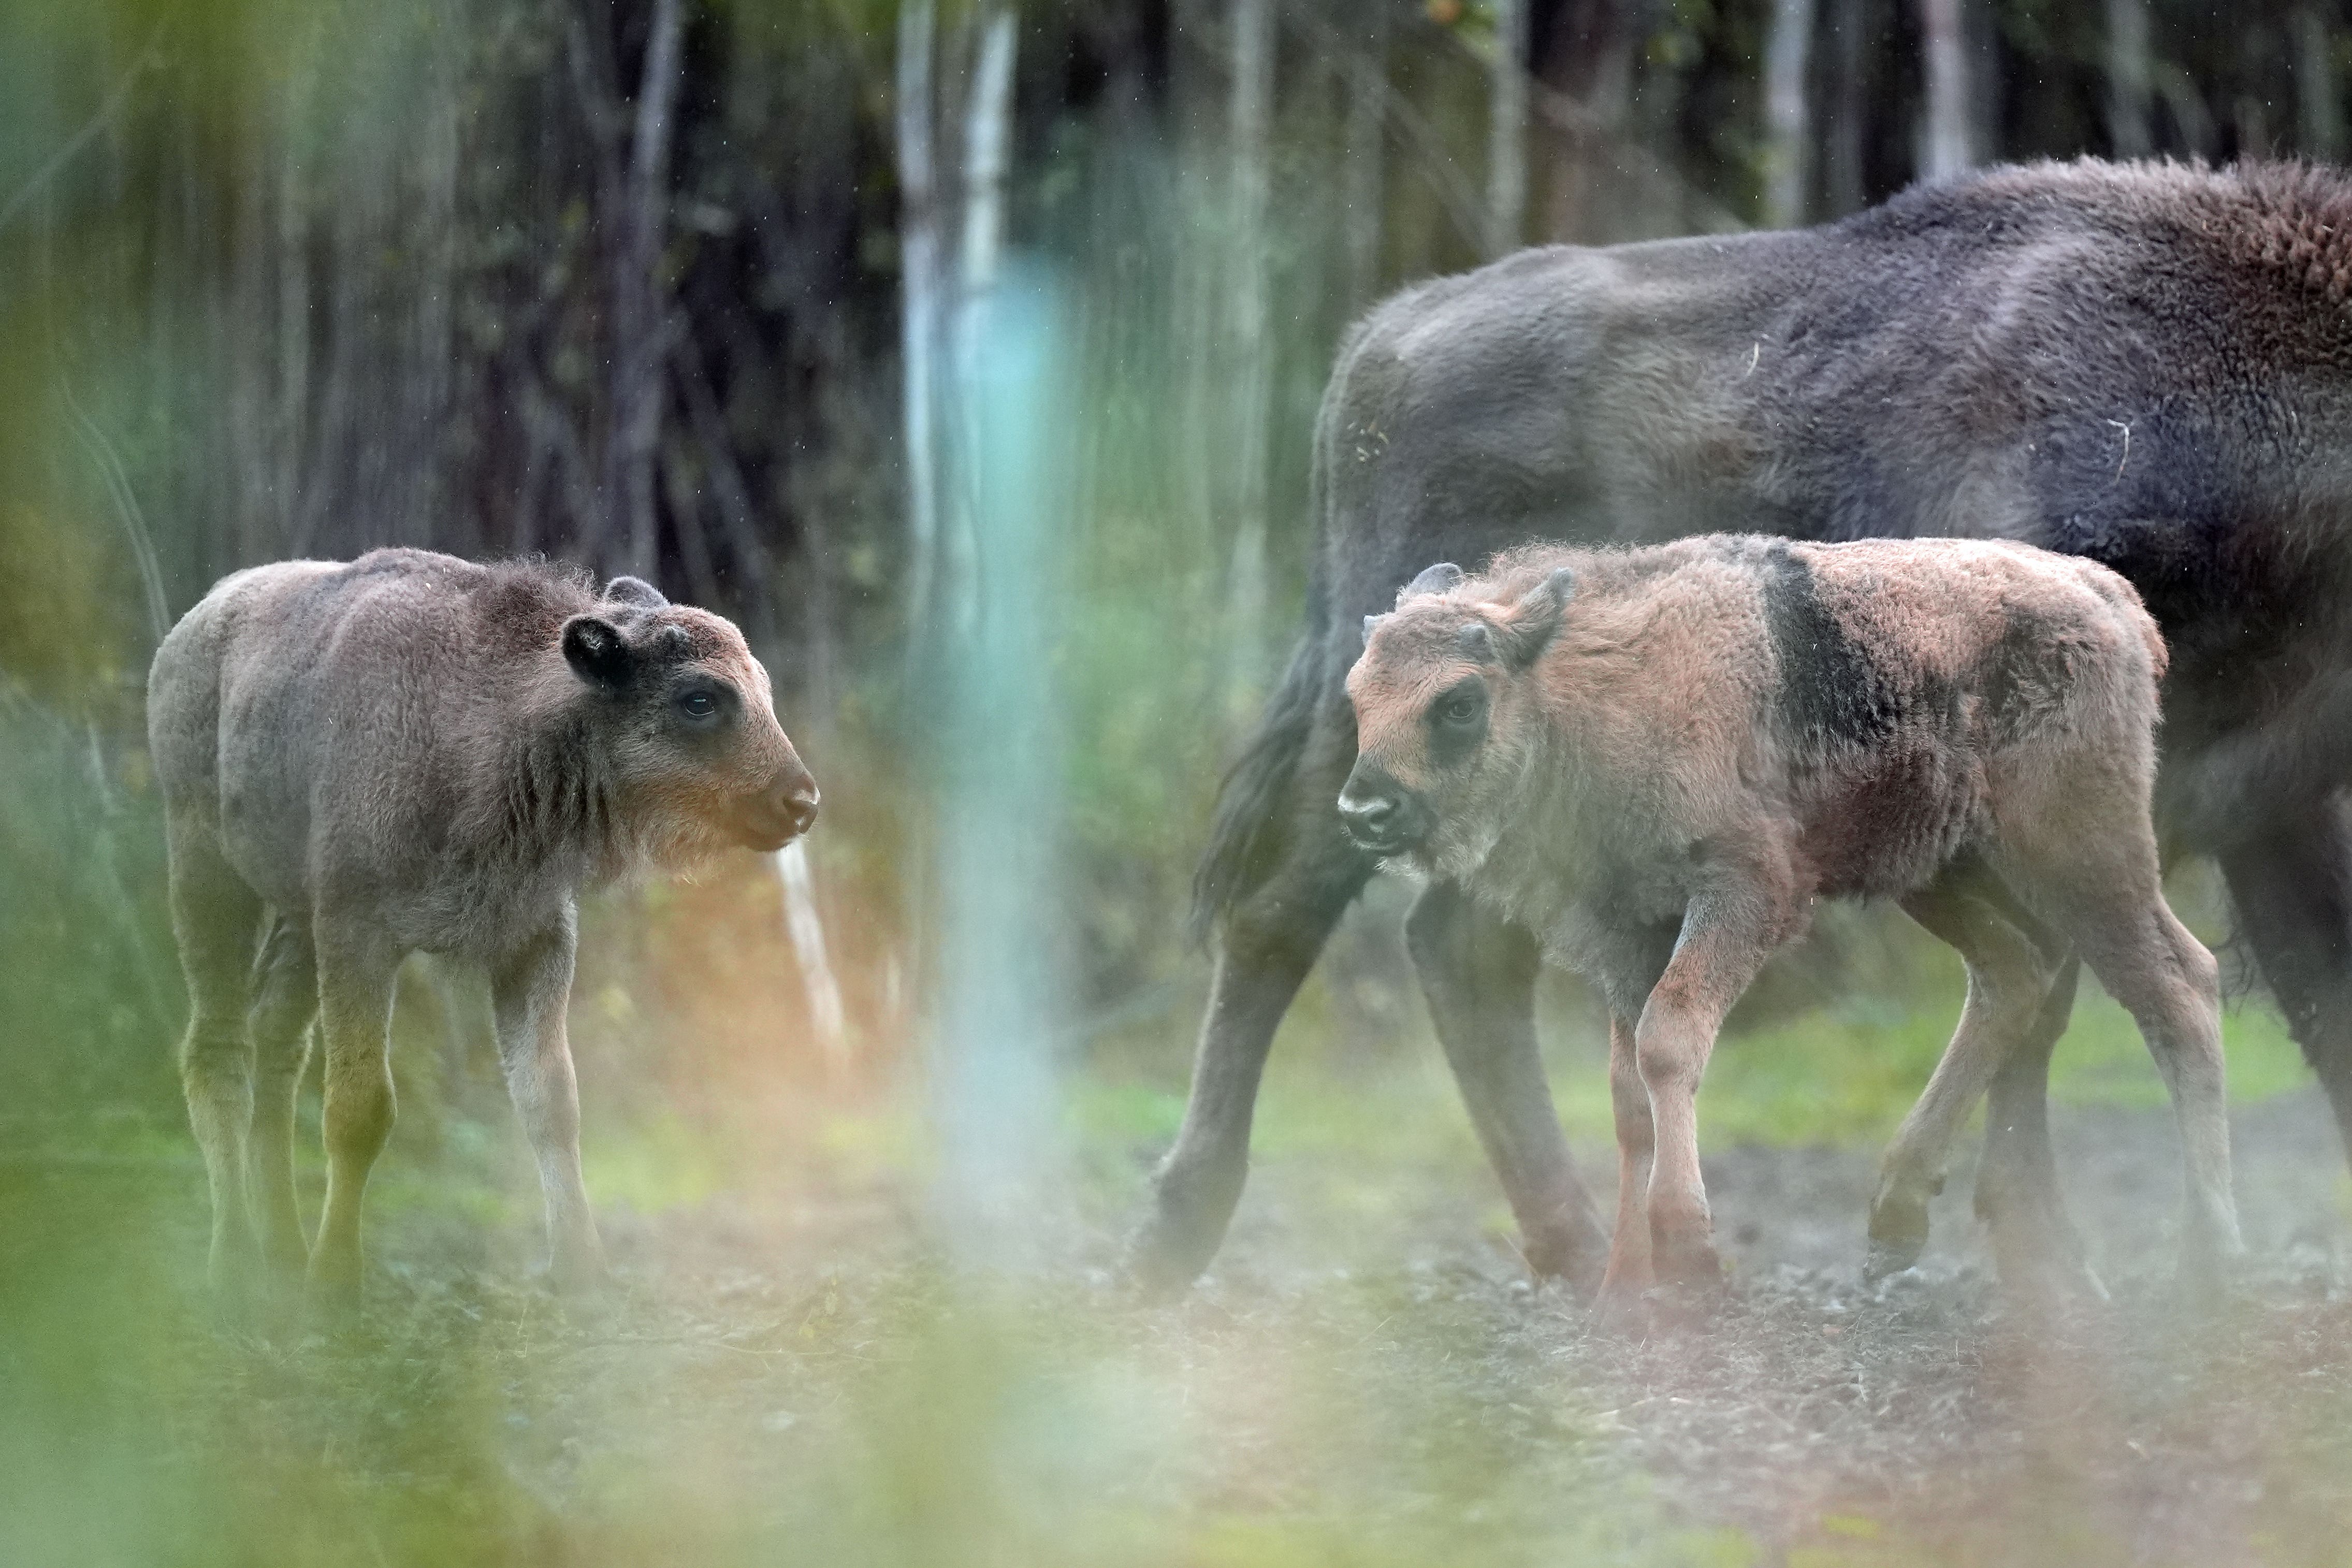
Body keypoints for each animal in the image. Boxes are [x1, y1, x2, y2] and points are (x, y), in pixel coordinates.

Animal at [151, 552, 818, 1316]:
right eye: (699, 699)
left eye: (762, 688)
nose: (801, 801)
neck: (495, 728)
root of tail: (194, 623)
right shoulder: (359, 935)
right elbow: (359, 1109)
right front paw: (337, 1281)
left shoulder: (535, 940)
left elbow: (551, 1101)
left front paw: (583, 1271)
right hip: (206, 870)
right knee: (217, 1048)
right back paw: (235, 1268)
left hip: (293, 916)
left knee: (277, 1041)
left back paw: (285, 1254)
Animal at [1345, 541, 2239, 1316]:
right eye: (1356, 695)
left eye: (1458, 702)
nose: (1362, 810)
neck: (1580, 685)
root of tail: (2108, 597)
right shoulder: (1624, 932)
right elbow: (1629, 1097)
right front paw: (1621, 1299)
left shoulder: (1743, 893)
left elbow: (1668, 1042)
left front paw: (1689, 1258)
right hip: (1942, 871)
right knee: (2014, 971)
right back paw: (1893, 1220)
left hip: (2082, 858)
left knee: (2177, 987)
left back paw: (2203, 1274)